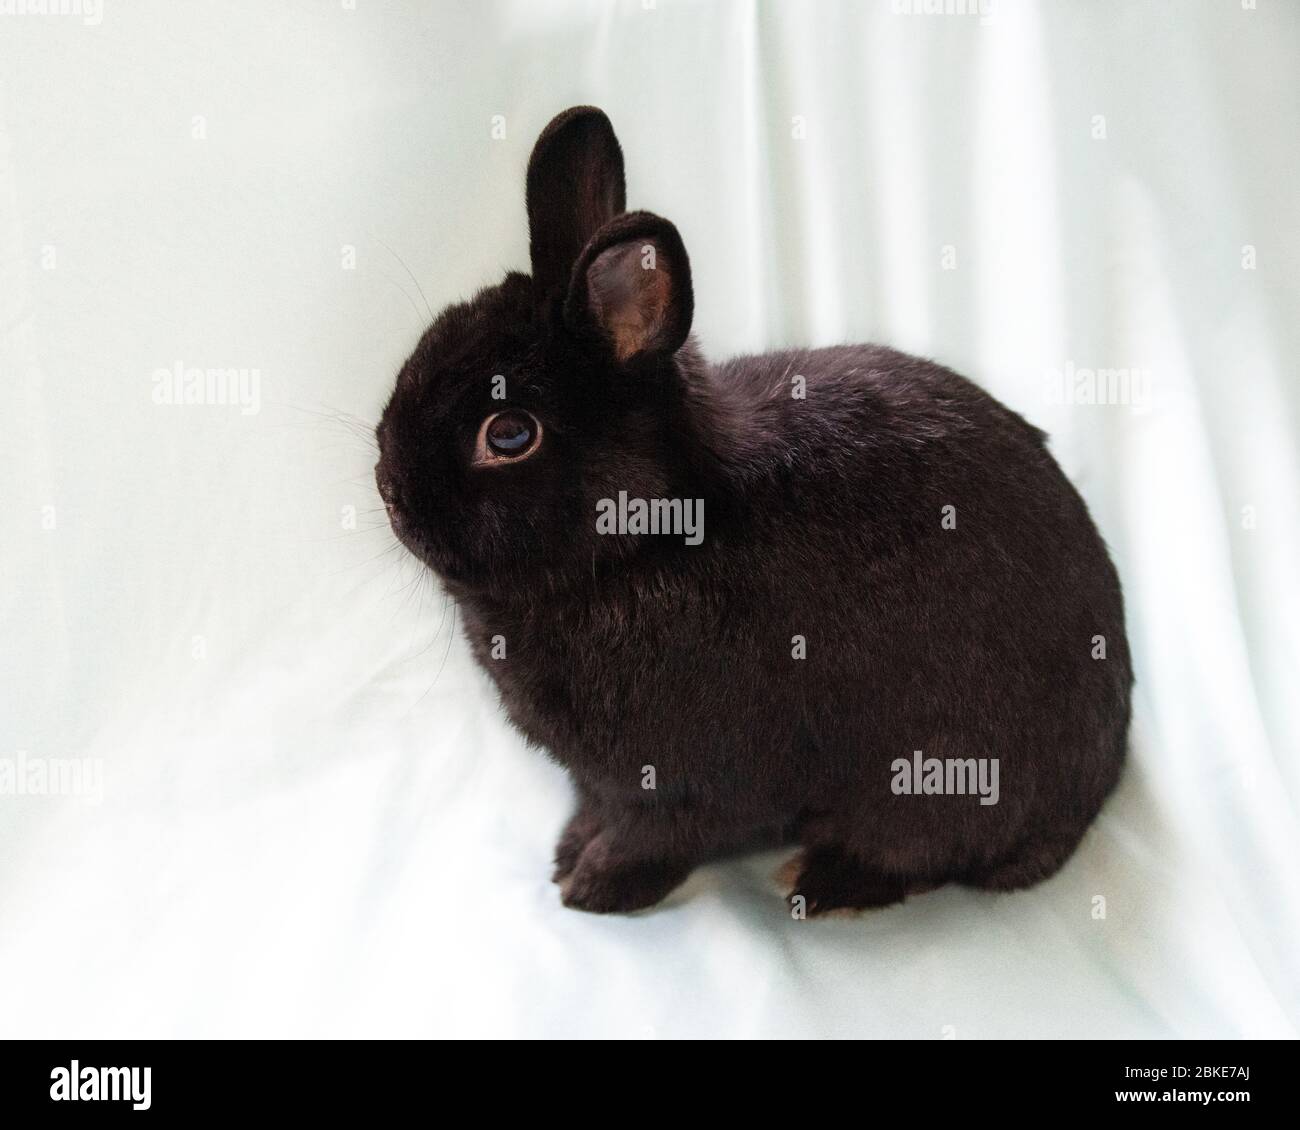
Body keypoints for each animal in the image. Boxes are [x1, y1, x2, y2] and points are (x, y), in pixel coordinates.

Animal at [374, 105, 1128, 915]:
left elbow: (659, 836)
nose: (389, 489)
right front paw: (570, 852)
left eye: (510, 434)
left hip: (938, 780)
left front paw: (594, 887)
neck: (657, 530)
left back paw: (824, 882)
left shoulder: (684, 786)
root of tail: (1094, 789)